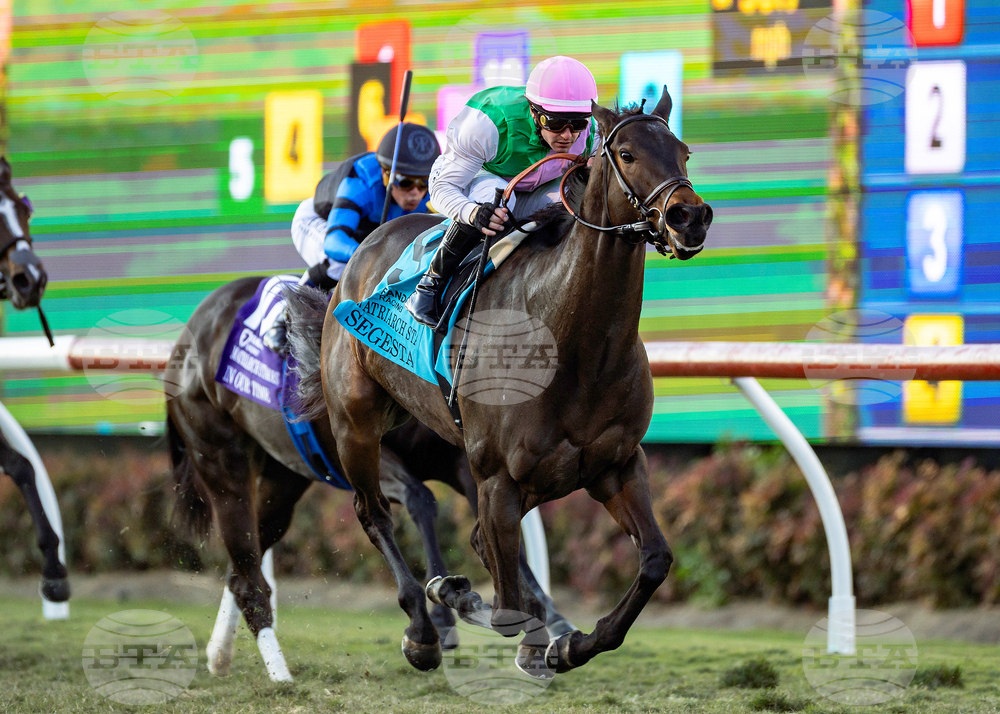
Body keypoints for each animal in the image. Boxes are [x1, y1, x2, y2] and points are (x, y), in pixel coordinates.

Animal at [166, 276, 570, 681]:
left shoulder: (465, 459)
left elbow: (499, 530)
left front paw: (552, 622)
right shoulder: (360, 448)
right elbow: (420, 499)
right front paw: (440, 617)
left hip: (283, 480)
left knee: (240, 570)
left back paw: (220, 655)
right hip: (220, 461)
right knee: (247, 571)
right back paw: (280, 675)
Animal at [285, 88, 712, 675]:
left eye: (684, 152)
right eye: (626, 154)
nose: (690, 217)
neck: (573, 346)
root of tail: (363, 250)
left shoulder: (616, 465)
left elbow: (654, 560)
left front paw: (570, 645)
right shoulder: (497, 478)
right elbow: (504, 607)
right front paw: (462, 599)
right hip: (356, 423)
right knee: (373, 513)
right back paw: (423, 629)